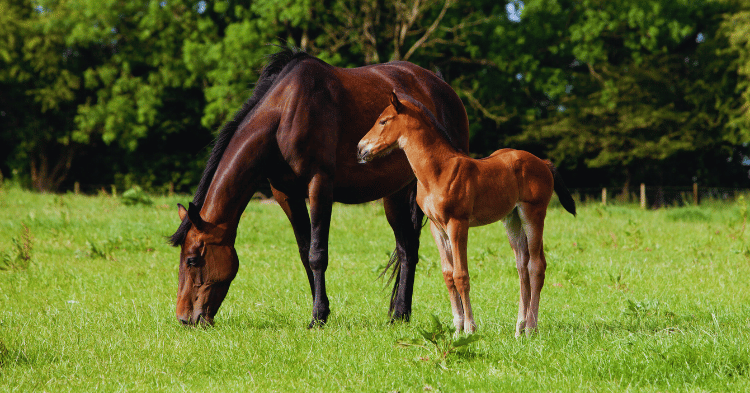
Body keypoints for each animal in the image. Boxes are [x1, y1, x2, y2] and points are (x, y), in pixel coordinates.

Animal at [170, 47, 470, 326]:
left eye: (193, 260)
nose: (185, 318)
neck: (285, 114)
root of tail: (443, 87)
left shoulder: (320, 186)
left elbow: (317, 254)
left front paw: (317, 316)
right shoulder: (286, 194)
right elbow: (305, 253)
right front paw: (321, 311)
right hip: (394, 194)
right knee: (407, 248)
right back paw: (400, 314)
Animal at [356, 90, 576, 336]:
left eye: (383, 121)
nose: (360, 149)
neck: (437, 171)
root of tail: (544, 163)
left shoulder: (457, 223)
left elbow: (461, 275)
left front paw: (470, 328)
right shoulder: (437, 228)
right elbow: (448, 275)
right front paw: (457, 326)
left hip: (533, 214)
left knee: (536, 265)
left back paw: (530, 328)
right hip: (512, 219)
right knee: (522, 265)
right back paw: (519, 327)